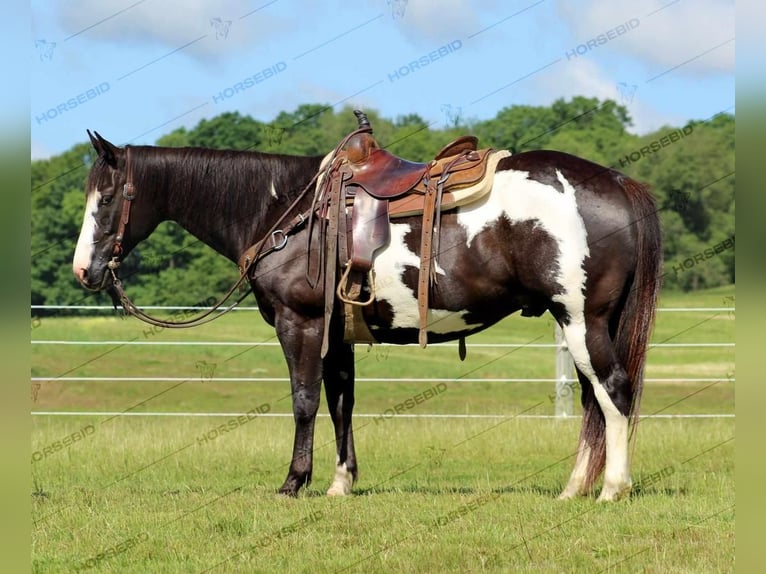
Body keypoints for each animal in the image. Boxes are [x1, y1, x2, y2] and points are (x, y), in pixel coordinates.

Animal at [75, 133, 664, 502]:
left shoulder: (300, 324)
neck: (287, 211)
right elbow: (341, 403)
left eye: (107, 197)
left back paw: (612, 489)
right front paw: (341, 482)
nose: (84, 270)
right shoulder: (337, 336)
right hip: (584, 324)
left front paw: (294, 482)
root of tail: (617, 182)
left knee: (613, 390)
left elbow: (305, 401)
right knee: (594, 399)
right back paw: (574, 488)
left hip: (582, 319)